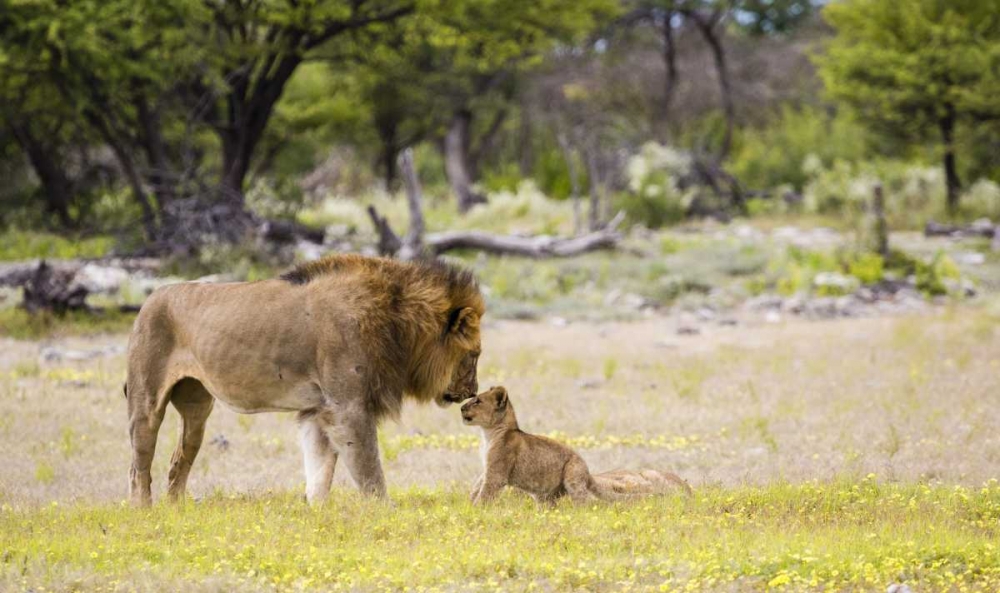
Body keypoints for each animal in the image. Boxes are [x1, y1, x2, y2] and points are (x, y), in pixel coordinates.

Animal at [125, 254, 484, 506]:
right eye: (475, 354)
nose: (472, 391)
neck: (399, 325)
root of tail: (150, 298)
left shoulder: (318, 410)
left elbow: (319, 471)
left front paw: (317, 513)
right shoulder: (348, 407)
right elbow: (368, 468)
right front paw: (384, 510)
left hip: (197, 406)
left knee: (180, 457)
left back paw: (177, 509)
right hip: (146, 401)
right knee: (138, 465)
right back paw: (145, 512)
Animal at [461, 386, 691, 505]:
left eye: (477, 401)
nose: (462, 407)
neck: (488, 433)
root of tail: (588, 473)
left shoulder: (497, 473)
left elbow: (485, 492)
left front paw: (476, 510)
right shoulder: (488, 467)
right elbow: (477, 484)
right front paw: (469, 501)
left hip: (572, 476)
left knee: (587, 502)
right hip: (544, 495)